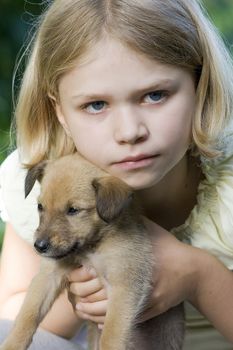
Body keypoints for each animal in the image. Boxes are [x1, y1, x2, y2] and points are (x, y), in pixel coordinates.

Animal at [0, 153, 186, 350]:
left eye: (73, 210)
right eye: (40, 207)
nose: (39, 246)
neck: (89, 250)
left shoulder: (124, 285)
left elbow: (111, 335)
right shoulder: (47, 277)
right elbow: (27, 315)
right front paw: (11, 344)